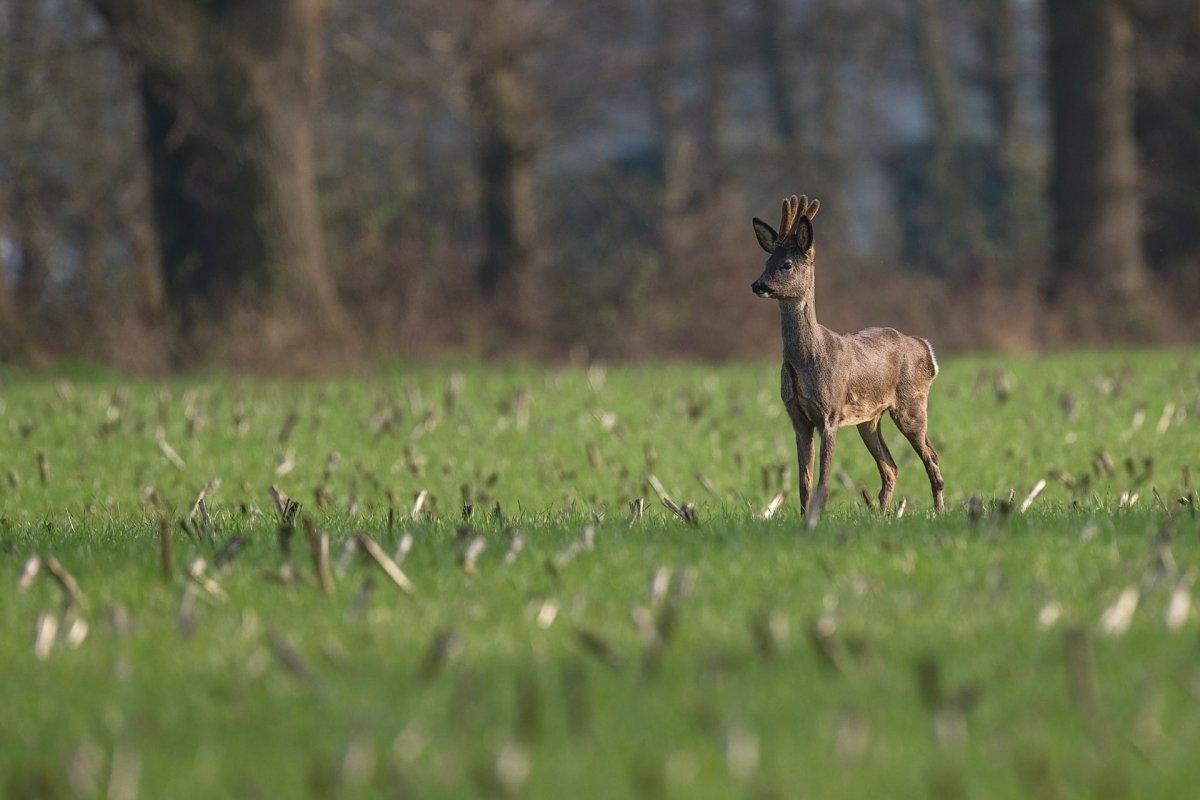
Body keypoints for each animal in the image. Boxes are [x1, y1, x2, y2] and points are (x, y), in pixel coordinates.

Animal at [748, 196, 945, 515]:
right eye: (766, 262)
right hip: (870, 419)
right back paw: (881, 514)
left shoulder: (830, 412)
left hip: (912, 404)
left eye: (787, 264)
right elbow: (803, 481)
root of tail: (924, 347)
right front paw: (803, 516)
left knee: (931, 456)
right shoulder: (797, 416)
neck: (808, 359)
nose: (758, 285)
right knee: (890, 466)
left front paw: (816, 518)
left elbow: (824, 481)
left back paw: (940, 511)